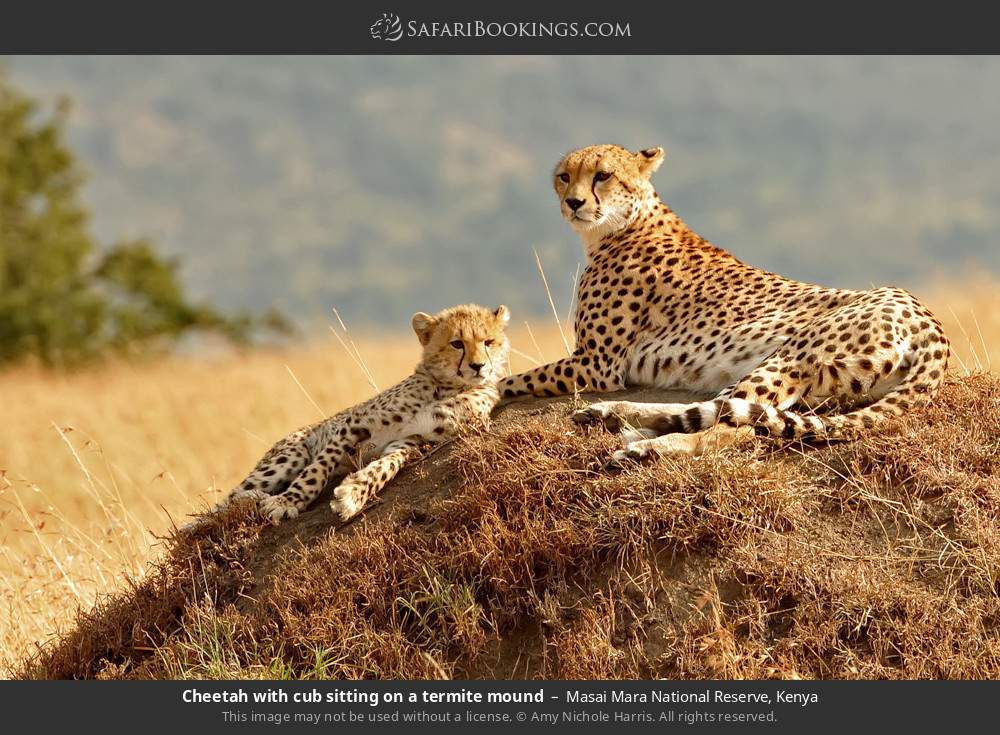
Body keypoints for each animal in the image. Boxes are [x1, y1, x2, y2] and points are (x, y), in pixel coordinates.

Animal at [504, 145, 948, 466]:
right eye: (565, 176)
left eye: (603, 175)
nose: (574, 202)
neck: (624, 223)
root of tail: (928, 319)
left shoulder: (596, 364)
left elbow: (511, 379)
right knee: (718, 408)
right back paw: (616, 417)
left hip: (791, 356)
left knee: (735, 426)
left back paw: (646, 446)